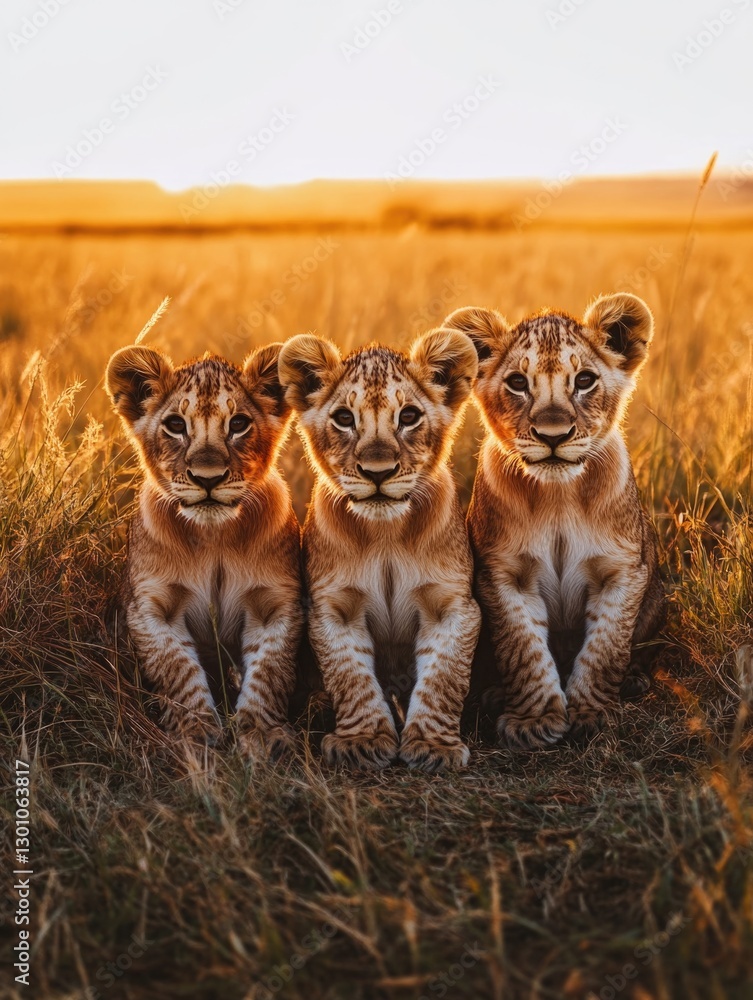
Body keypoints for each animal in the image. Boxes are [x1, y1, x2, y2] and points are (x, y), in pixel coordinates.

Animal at [105, 344, 303, 757]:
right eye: (176, 425)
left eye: (239, 424)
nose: (207, 479)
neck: (215, 538)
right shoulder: (152, 608)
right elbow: (177, 671)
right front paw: (194, 731)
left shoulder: (275, 604)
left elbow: (269, 673)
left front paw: (260, 733)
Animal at [277, 329, 481, 772]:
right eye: (343, 418)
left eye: (408, 416)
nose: (378, 473)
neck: (386, 533)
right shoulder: (333, 607)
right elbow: (351, 677)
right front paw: (364, 740)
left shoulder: (452, 606)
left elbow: (444, 678)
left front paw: (434, 747)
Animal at [444, 293, 666, 748]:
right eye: (517, 382)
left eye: (584, 380)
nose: (553, 435)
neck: (560, 497)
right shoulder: (504, 575)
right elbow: (524, 650)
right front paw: (535, 721)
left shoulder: (621, 570)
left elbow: (605, 650)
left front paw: (591, 715)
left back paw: (634, 681)